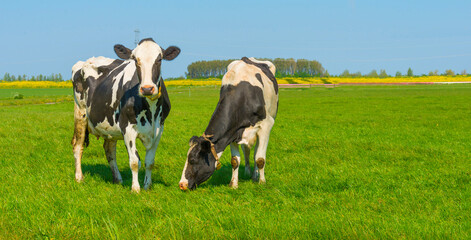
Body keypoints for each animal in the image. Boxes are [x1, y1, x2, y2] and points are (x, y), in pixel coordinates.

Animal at [71, 39, 181, 193]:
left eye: (159, 59)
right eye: (135, 60)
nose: (147, 88)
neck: (150, 110)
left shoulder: (159, 129)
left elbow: (149, 162)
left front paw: (147, 186)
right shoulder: (128, 128)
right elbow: (134, 161)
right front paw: (135, 189)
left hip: (109, 124)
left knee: (109, 150)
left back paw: (117, 179)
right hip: (80, 114)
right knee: (78, 146)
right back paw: (79, 178)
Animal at [179, 57, 278, 190]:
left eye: (192, 160)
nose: (182, 185)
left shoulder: (265, 126)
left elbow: (260, 159)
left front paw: (262, 182)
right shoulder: (232, 132)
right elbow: (235, 160)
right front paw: (233, 184)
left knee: (256, 152)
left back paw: (255, 175)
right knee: (247, 150)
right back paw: (248, 173)